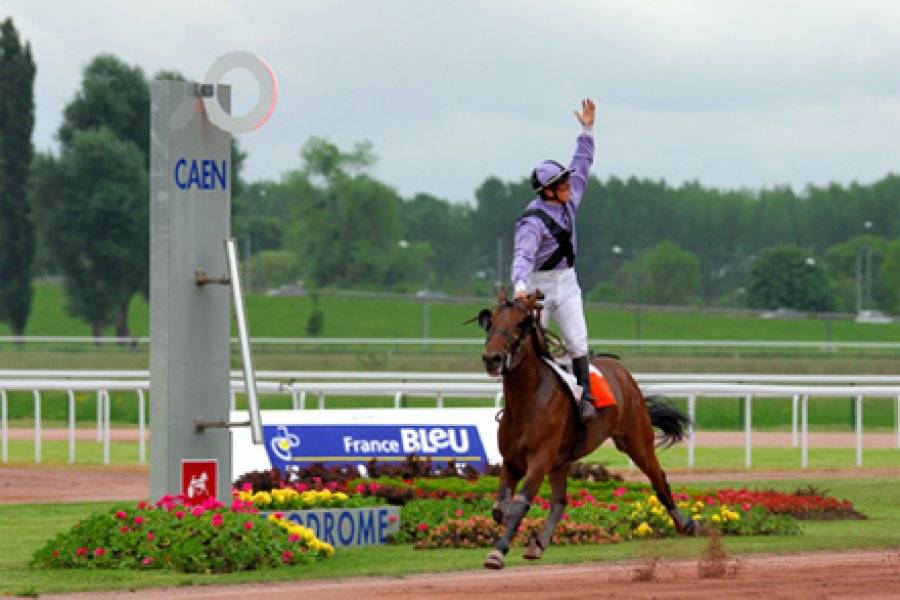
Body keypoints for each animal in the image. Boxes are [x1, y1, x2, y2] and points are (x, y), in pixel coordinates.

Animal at [478, 288, 696, 568]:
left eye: (520, 323)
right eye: (491, 322)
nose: (492, 358)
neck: (527, 401)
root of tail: (621, 369)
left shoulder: (539, 458)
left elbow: (519, 504)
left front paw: (498, 550)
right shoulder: (512, 460)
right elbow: (499, 508)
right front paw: (514, 536)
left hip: (636, 440)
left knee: (659, 478)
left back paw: (685, 524)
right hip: (561, 461)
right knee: (560, 501)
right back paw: (539, 544)